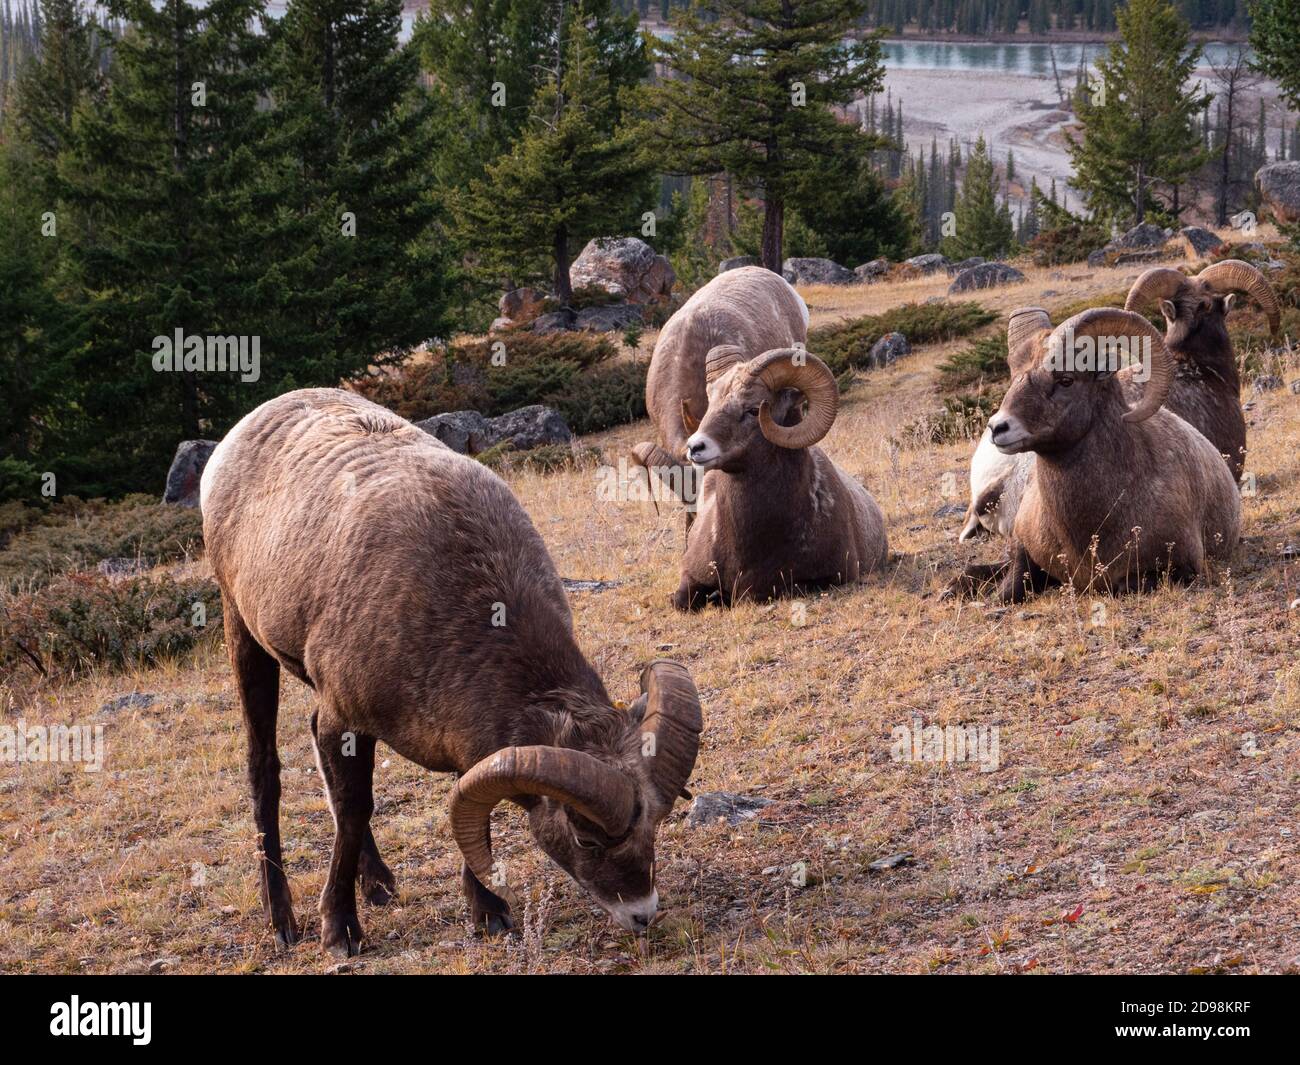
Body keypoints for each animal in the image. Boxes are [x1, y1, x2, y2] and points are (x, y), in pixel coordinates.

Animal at [201, 390, 702, 957]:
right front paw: (340, 929)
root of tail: (246, 428)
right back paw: (282, 918)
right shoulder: (344, 721)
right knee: (264, 771)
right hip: (243, 635)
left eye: (655, 823)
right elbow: (354, 811)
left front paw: (487, 911)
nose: (642, 913)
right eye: (584, 836)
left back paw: (379, 886)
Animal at [956, 312, 1237, 603]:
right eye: (1014, 377)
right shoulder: (1022, 548)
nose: (998, 428)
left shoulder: (1177, 568)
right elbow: (1008, 590)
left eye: (1066, 380)